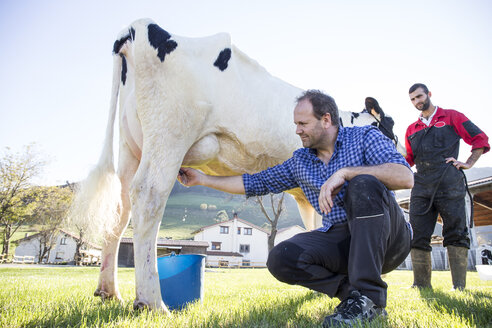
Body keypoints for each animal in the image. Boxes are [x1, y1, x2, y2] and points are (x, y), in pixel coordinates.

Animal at [71, 18, 406, 312]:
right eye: (391, 132)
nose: (404, 154)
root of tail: (140, 26)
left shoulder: (302, 192)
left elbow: (315, 223)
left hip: (131, 147)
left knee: (120, 211)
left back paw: (109, 292)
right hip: (169, 134)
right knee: (148, 197)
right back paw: (152, 303)